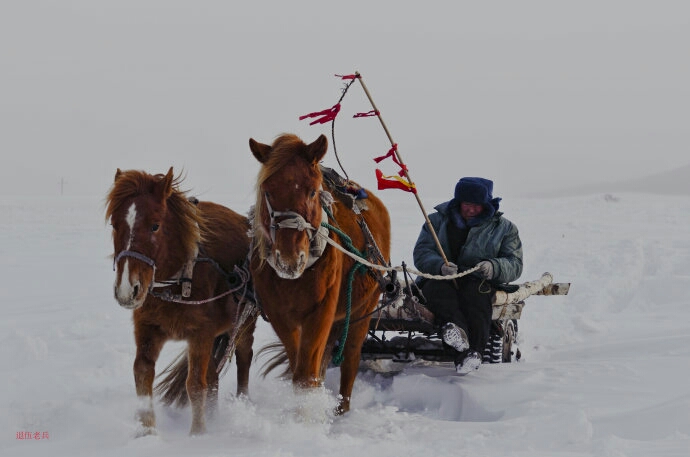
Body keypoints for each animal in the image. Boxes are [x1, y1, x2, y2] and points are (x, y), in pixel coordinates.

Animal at [106, 168, 256, 434]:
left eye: (155, 225)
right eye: (115, 225)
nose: (126, 290)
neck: (178, 282)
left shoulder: (200, 335)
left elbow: (195, 385)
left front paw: (198, 434)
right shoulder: (148, 329)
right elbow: (142, 375)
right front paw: (147, 432)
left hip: (244, 323)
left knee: (244, 358)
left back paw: (242, 402)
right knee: (213, 377)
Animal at [247, 132, 390, 414]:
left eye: (312, 190)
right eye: (267, 190)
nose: (289, 259)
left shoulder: (321, 310)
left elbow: (307, 375)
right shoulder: (280, 315)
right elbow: (299, 369)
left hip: (363, 309)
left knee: (350, 359)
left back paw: (342, 410)